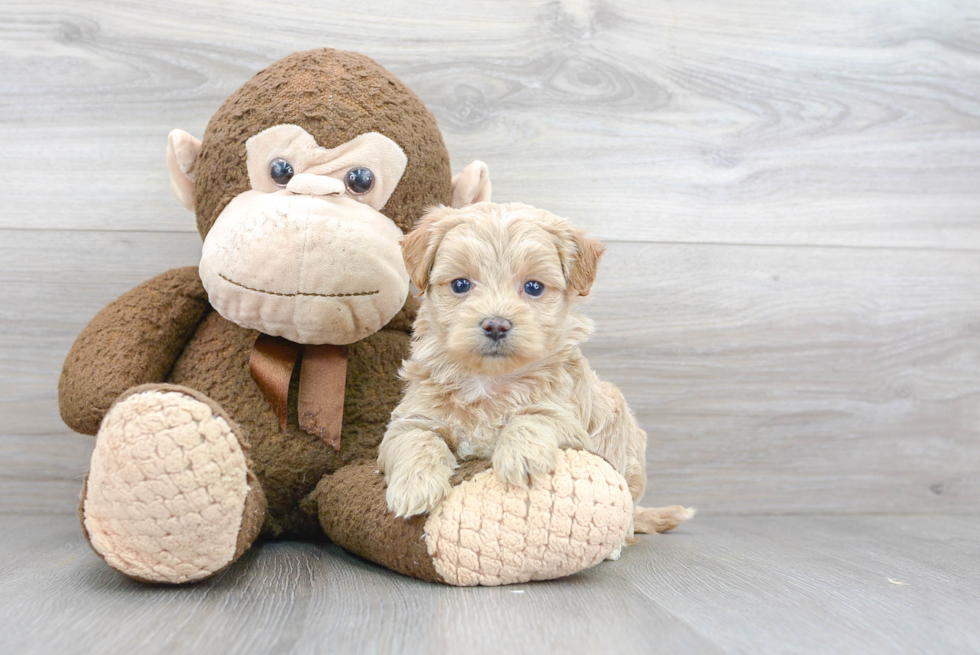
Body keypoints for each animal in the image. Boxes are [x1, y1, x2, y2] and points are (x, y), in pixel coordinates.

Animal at [378, 201, 692, 540]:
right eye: (460, 284)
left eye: (534, 287)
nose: (496, 324)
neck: (488, 380)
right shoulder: (412, 419)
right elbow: (416, 439)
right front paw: (415, 485)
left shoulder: (569, 421)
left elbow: (532, 418)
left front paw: (521, 456)